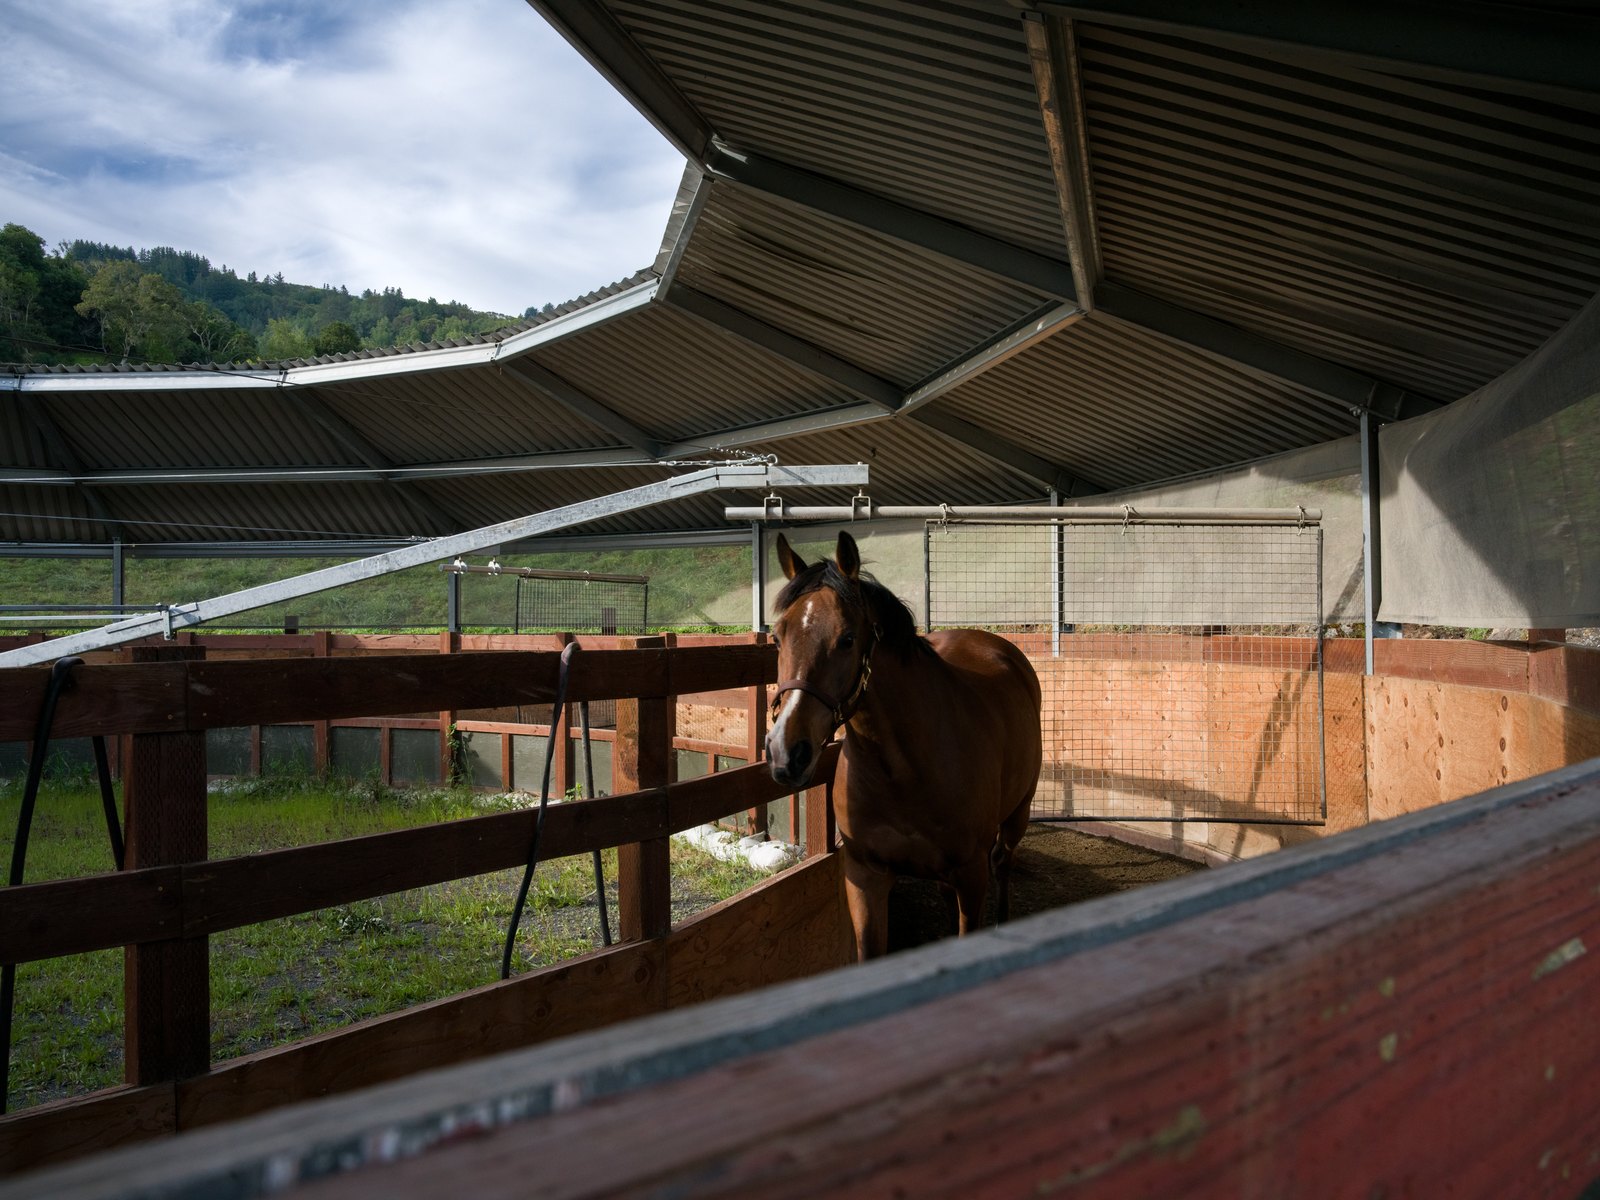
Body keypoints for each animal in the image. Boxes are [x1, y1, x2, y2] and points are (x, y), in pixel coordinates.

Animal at [765, 530, 1043, 961]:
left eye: (847, 639)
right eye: (777, 637)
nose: (786, 752)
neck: (906, 770)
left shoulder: (972, 874)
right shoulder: (865, 875)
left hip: (1017, 815)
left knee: (1003, 862)